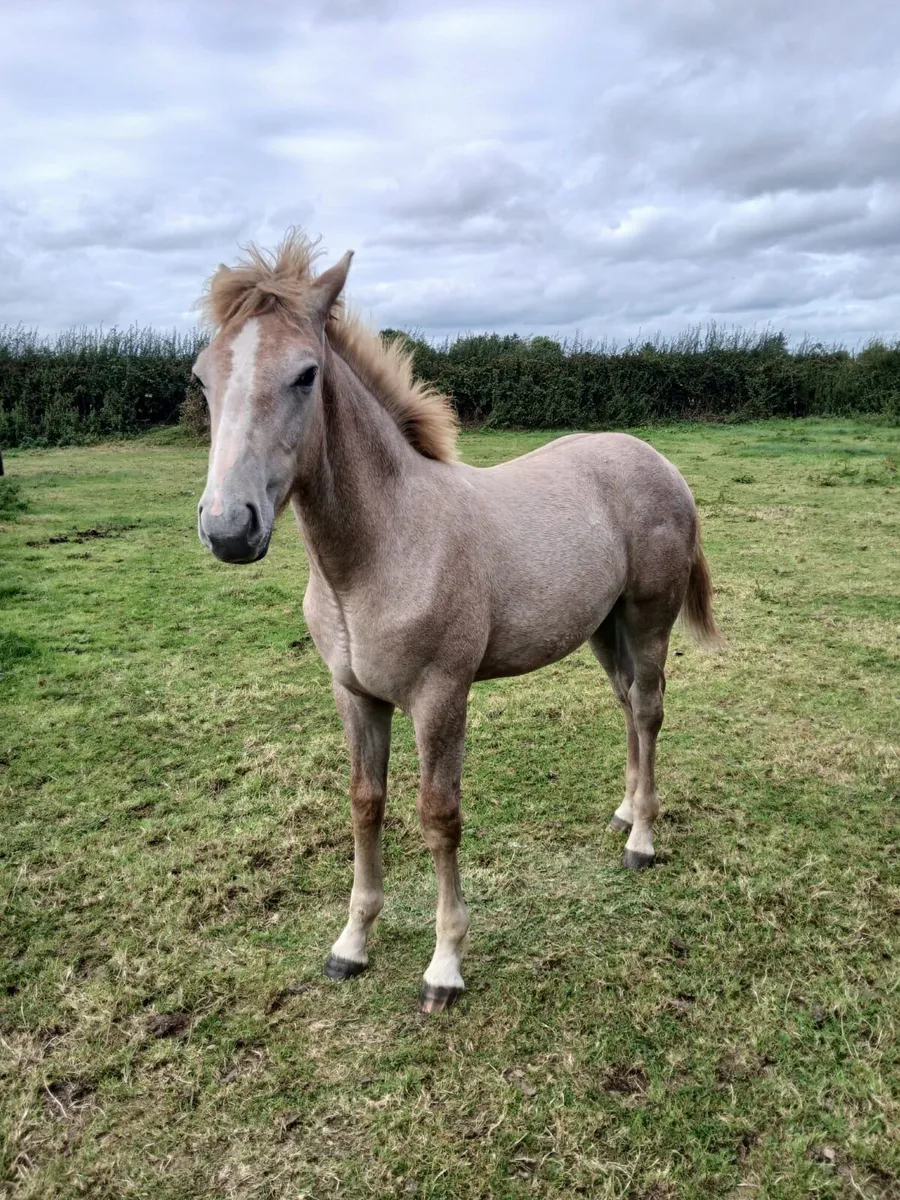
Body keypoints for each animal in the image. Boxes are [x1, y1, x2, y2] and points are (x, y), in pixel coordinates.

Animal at [193, 231, 722, 1013]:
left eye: (305, 374)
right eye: (202, 377)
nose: (230, 530)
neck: (384, 549)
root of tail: (656, 459)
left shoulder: (441, 696)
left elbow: (439, 817)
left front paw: (444, 966)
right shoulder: (356, 696)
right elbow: (366, 803)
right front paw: (351, 944)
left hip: (649, 619)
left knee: (651, 710)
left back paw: (643, 842)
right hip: (604, 629)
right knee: (628, 704)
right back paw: (626, 813)